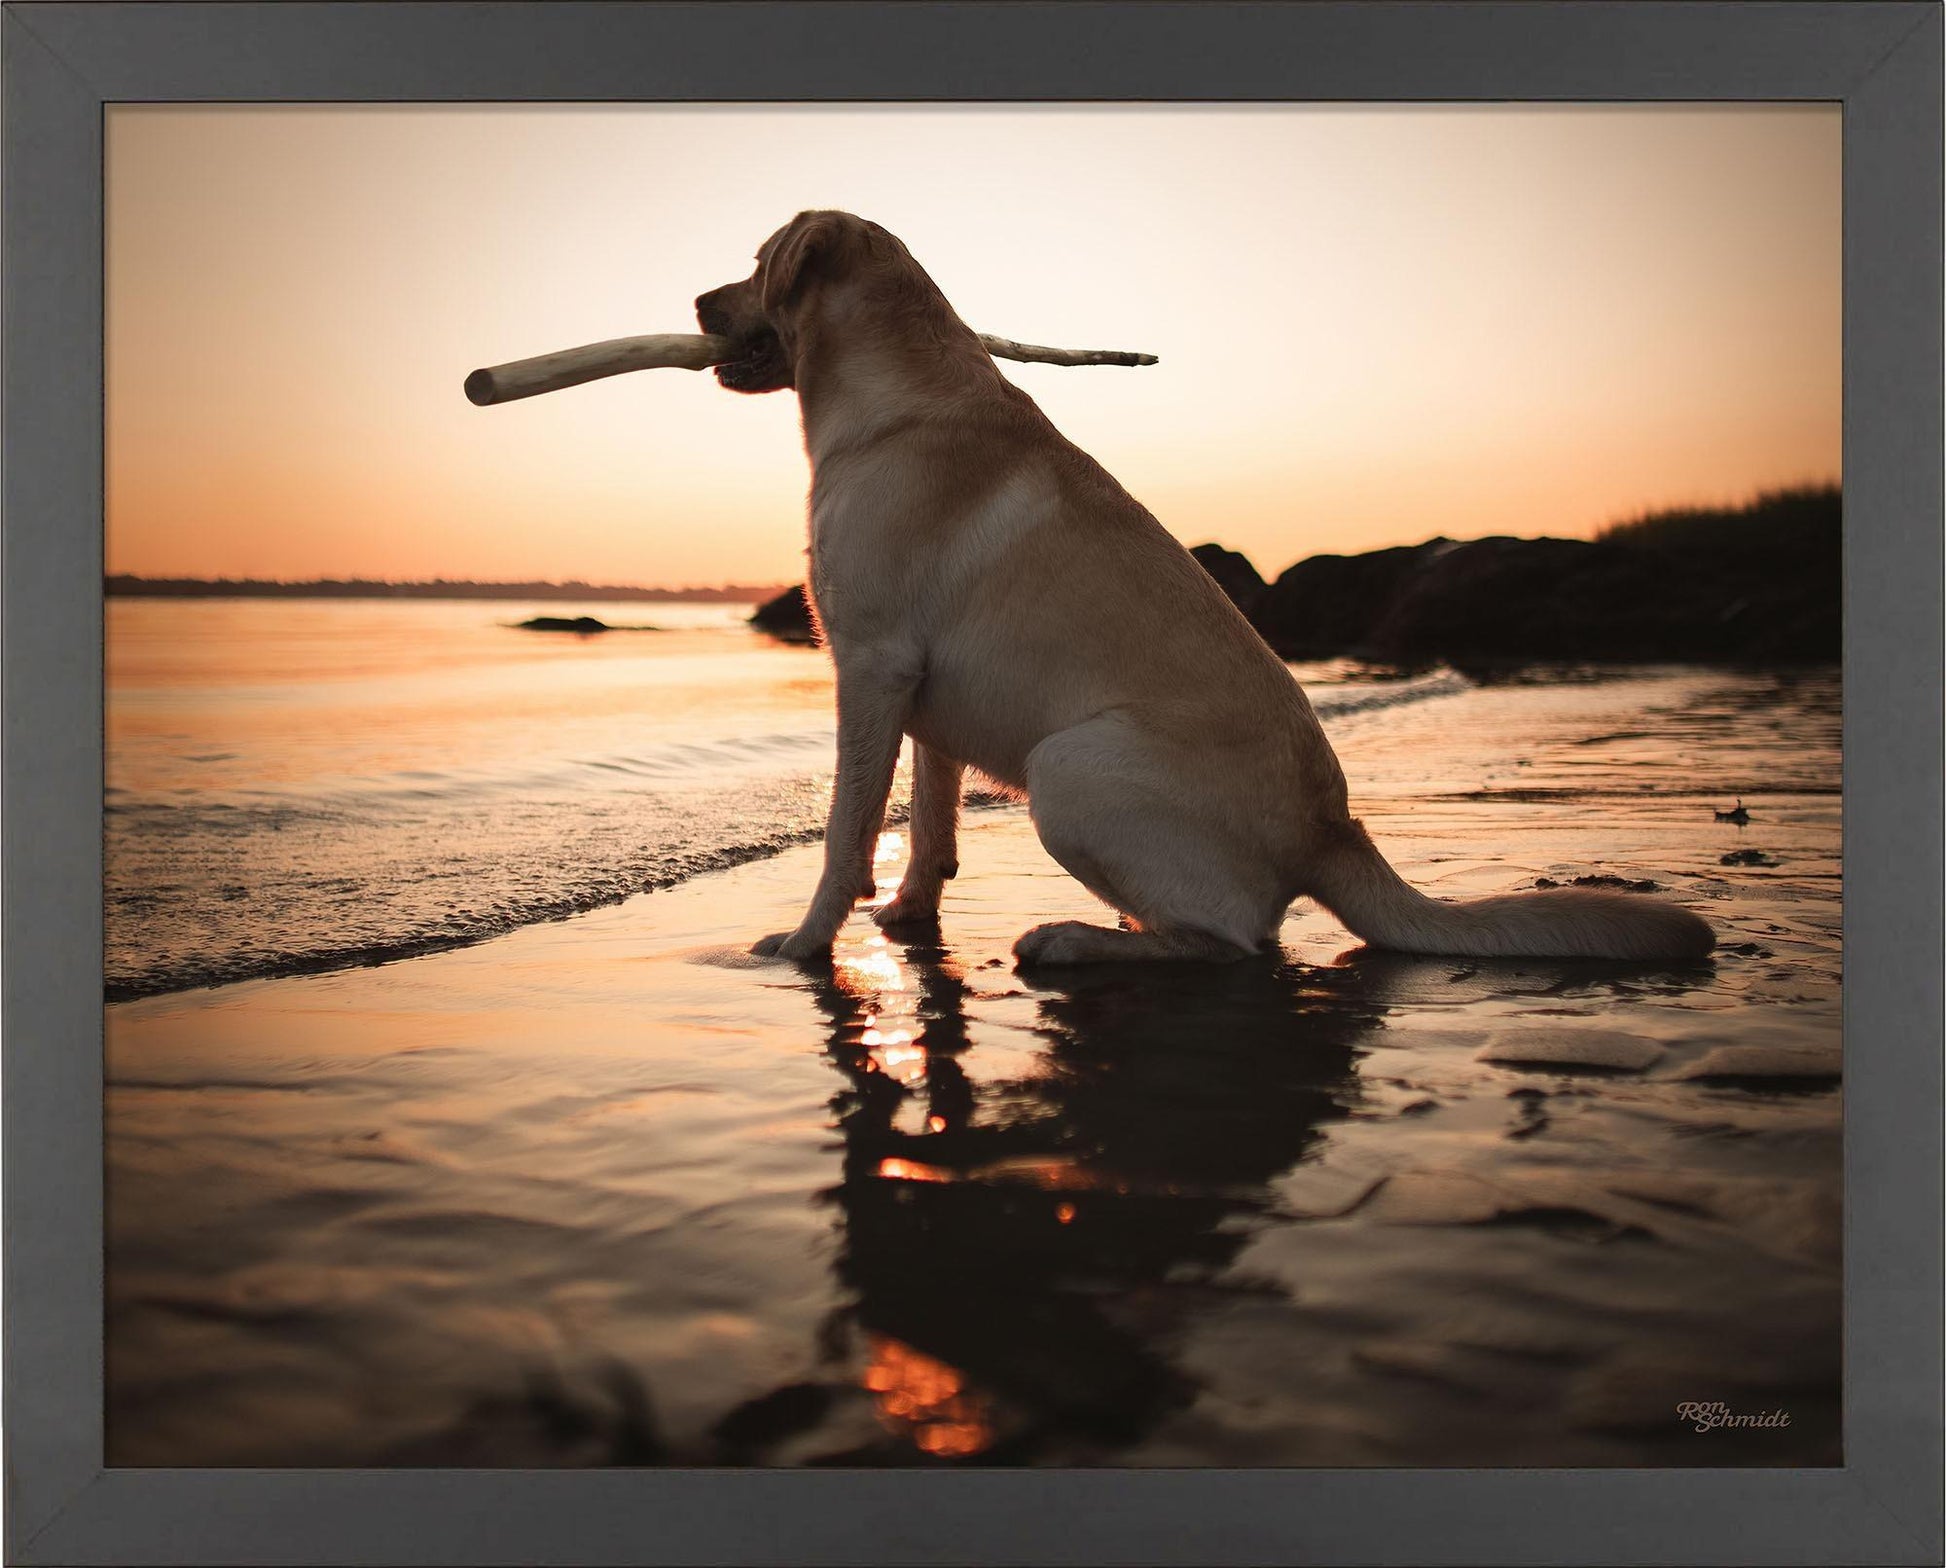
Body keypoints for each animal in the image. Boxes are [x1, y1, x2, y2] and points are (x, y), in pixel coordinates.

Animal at [696, 212, 1704, 968]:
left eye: (756, 263)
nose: (697, 301)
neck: (893, 391)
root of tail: (1333, 833)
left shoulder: (870, 665)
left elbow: (847, 828)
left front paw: (805, 942)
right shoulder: (921, 688)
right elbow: (930, 818)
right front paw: (908, 912)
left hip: (1067, 765)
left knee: (1234, 941)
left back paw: (1077, 940)